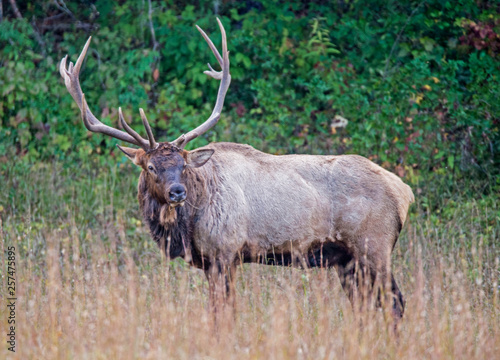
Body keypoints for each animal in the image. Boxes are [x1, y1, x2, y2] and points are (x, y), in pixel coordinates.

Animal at [59, 19, 414, 318]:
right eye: (150, 166)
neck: (188, 226)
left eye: (182, 164)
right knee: (367, 306)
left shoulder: (225, 252)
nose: (177, 192)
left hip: (373, 246)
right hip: (348, 261)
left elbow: (223, 313)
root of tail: (404, 192)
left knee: (396, 302)